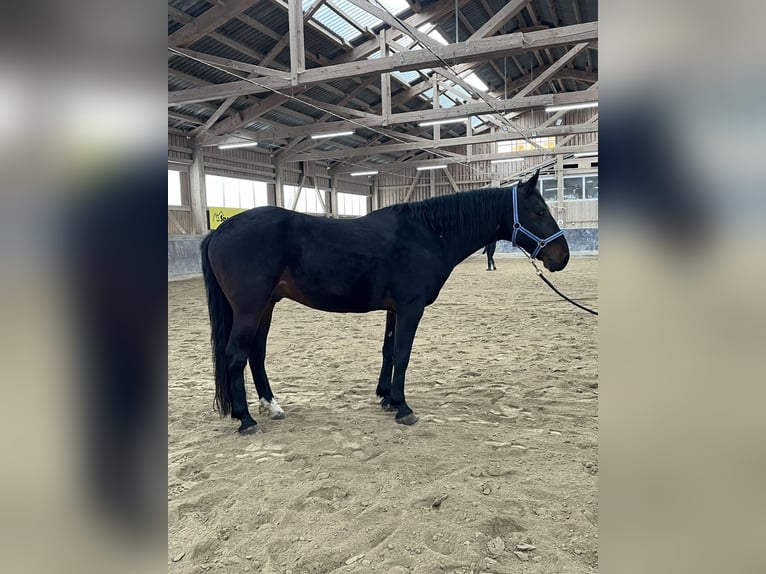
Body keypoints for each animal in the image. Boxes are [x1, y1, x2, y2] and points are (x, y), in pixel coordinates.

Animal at [201, 171, 568, 436]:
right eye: (539, 211)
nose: (561, 257)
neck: (426, 234)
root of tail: (219, 231)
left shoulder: (394, 309)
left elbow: (389, 351)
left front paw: (387, 398)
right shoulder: (410, 307)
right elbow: (403, 353)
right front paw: (403, 407)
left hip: (266, 306)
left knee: (256, 354)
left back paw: (271, 406)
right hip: (250, 309)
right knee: (235, 355)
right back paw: (246, 419)